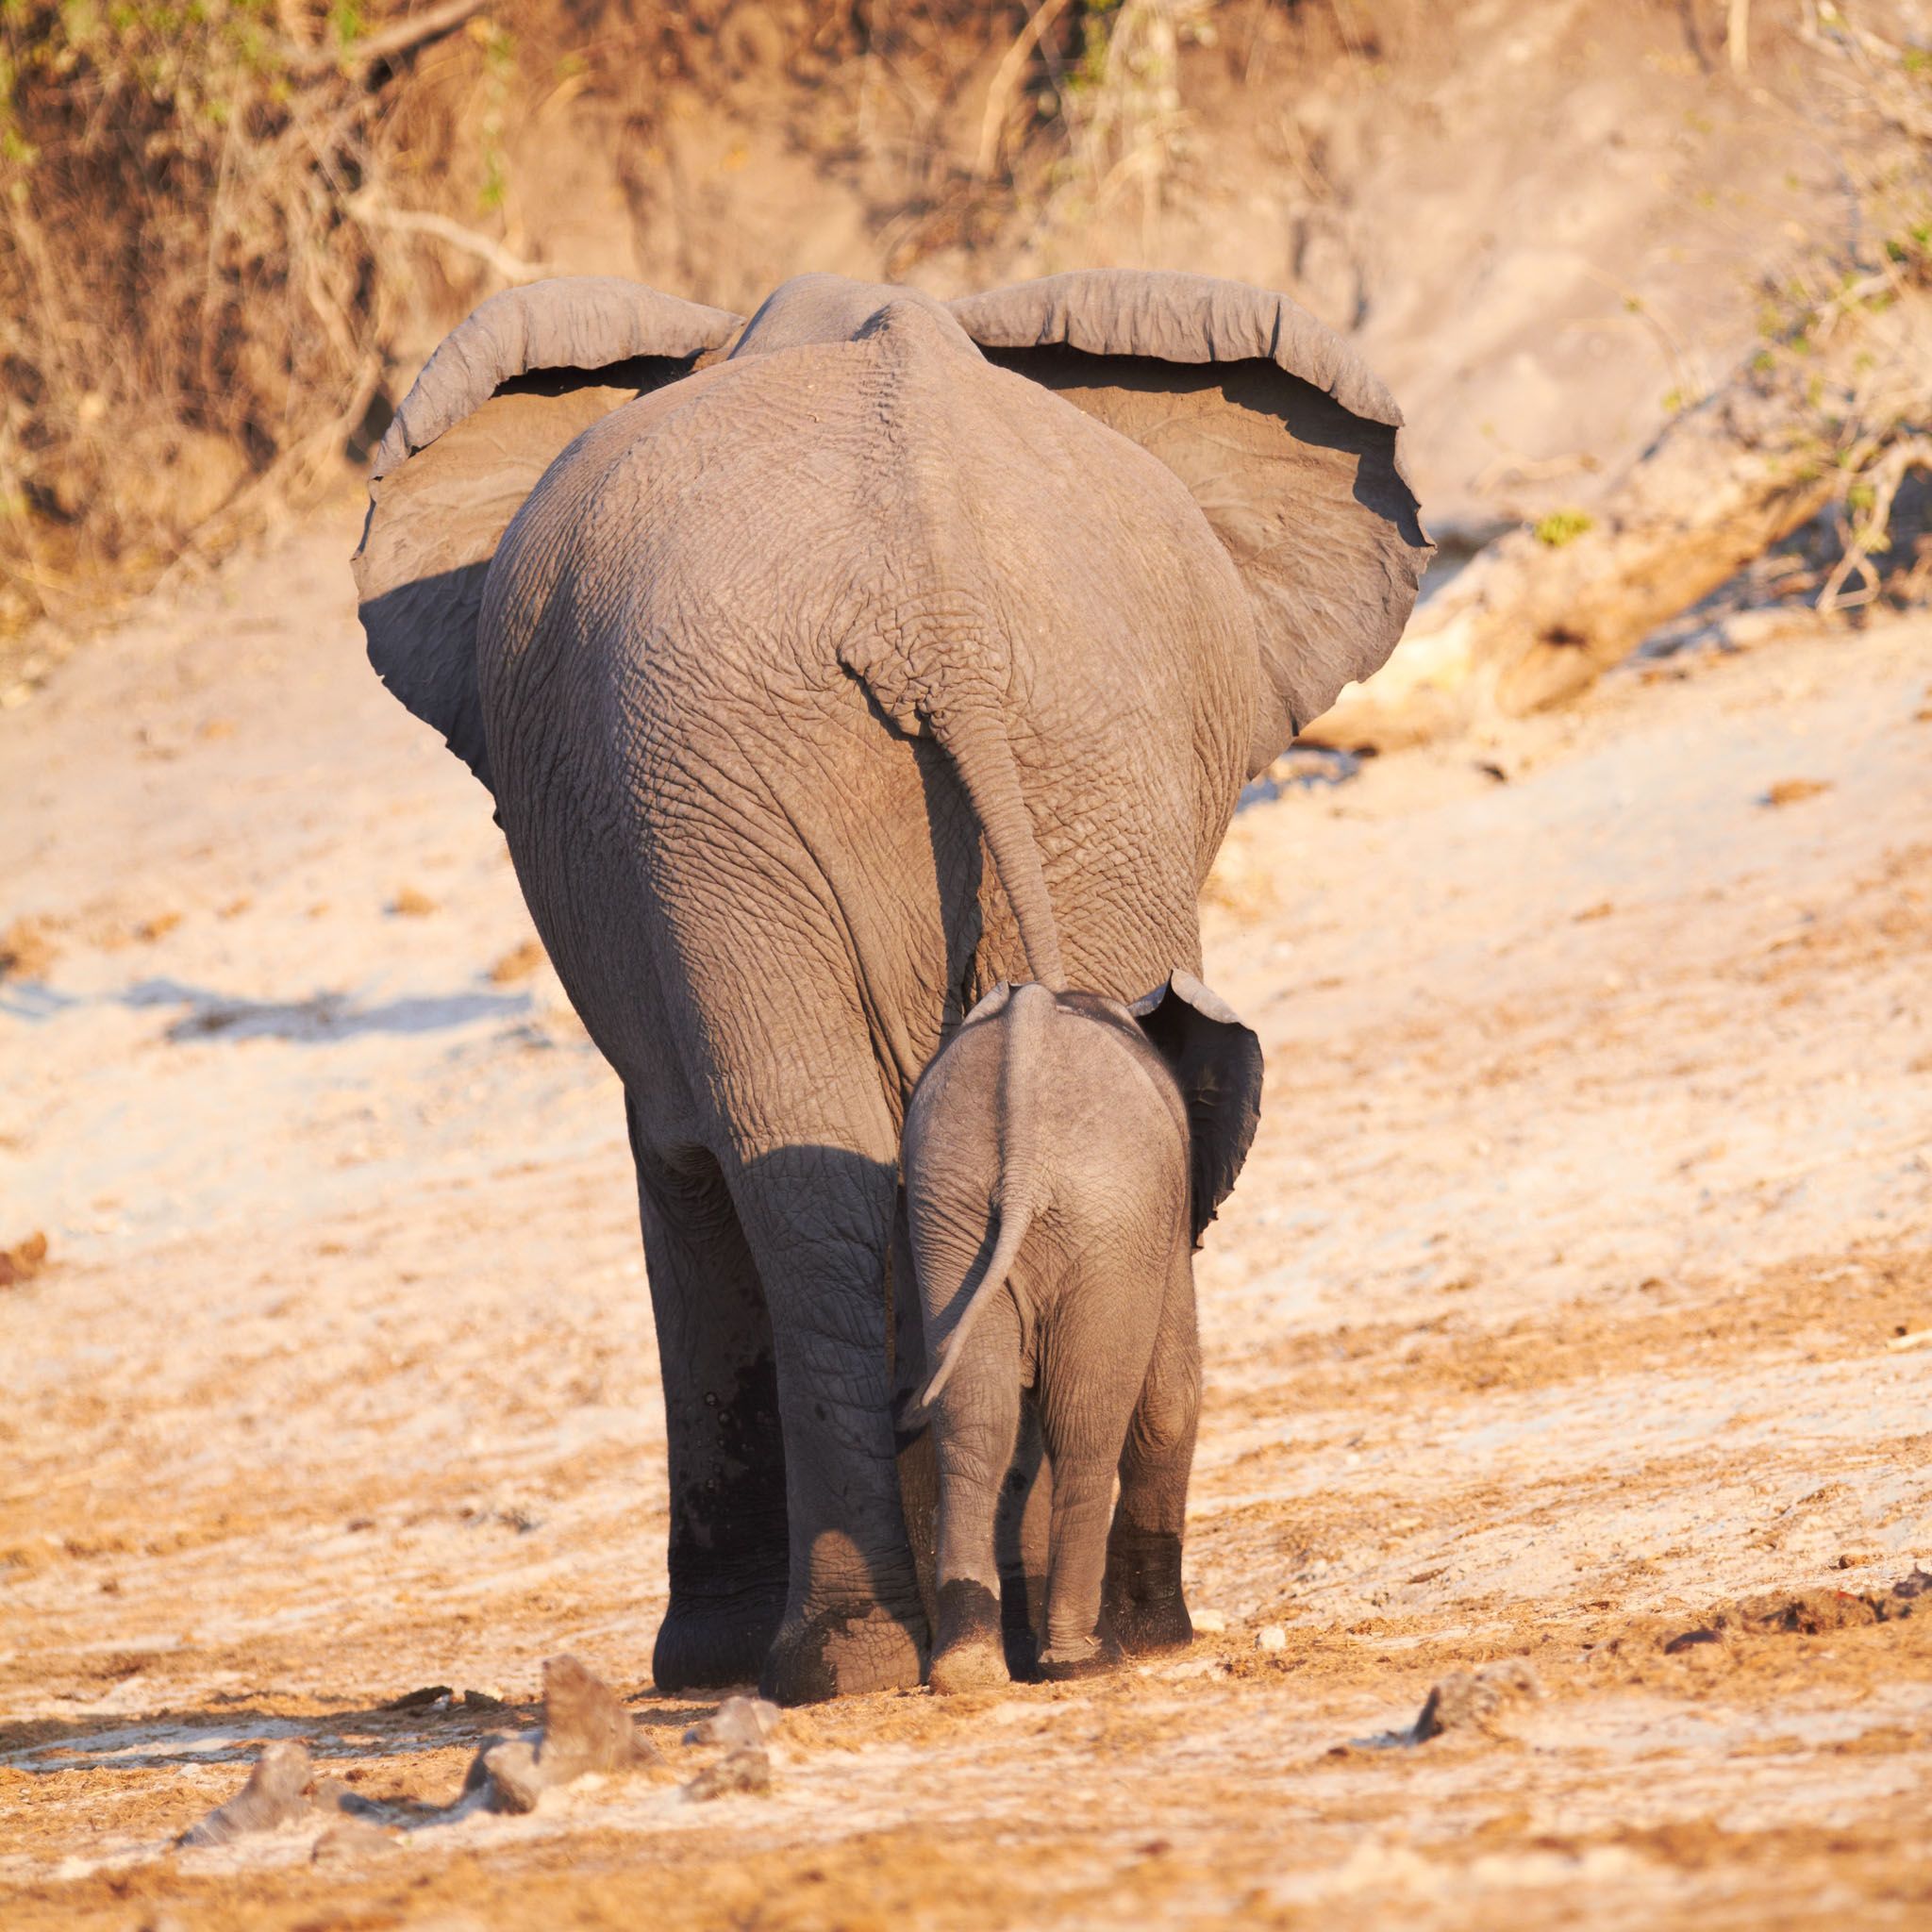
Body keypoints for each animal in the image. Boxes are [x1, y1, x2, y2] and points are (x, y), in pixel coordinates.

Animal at [905, 971, 1262, 1693]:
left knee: (975, 1419)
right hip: (1106, 1224)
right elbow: (1169, 1400)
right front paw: (1162, 1639)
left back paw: (968, 1669)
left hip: (949, 1212)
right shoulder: (1163, 1224)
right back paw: (1086, 1659)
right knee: (1087, 1424)